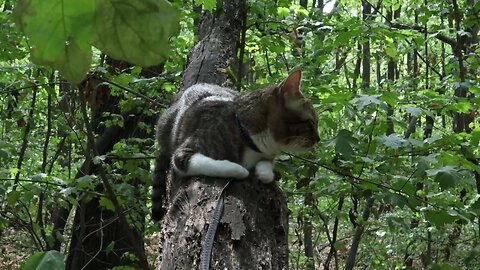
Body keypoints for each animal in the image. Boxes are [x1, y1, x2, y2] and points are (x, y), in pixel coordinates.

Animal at [152, 69, 318, 219]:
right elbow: (217, 165)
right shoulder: (184, 152)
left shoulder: (267, 154)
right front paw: (240, 170)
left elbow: (266, 165)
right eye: (311, 123)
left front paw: (264, 172)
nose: (318, 138)